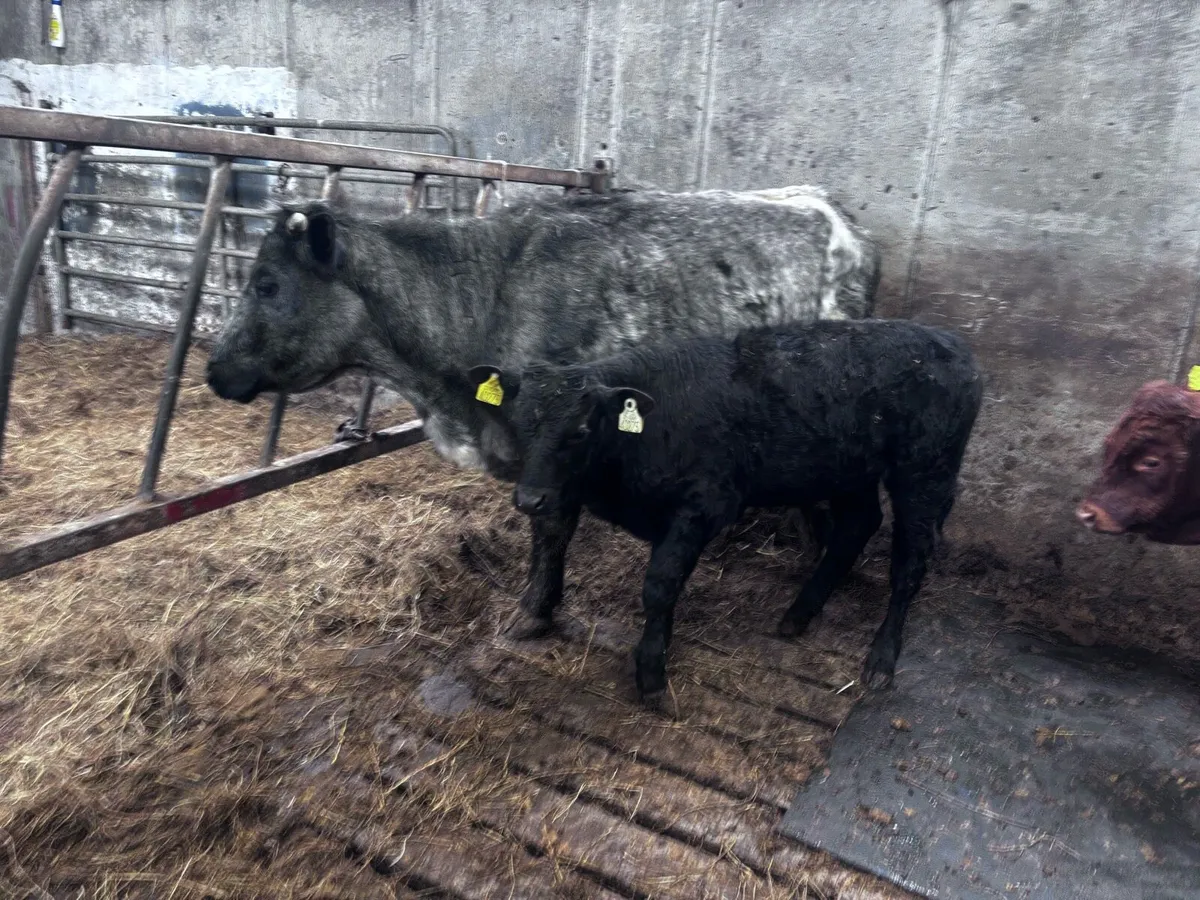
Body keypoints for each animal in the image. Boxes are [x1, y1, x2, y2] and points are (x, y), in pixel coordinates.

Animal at [205, 186, 881, 633]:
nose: (213, 369)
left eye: (266, 284)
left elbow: (550, 529)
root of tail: (836, 210)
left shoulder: (561, 442)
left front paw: (534, 612)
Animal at [466, 318, 983, 701]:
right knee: (857, 526)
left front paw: (651, 671)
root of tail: (953, 343)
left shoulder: (703, 506)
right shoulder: (573, 491)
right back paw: (799, 614)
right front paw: (536, 613)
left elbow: (659, 585)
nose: (528, 498)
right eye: (519, 421)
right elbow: (558, 542)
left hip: (925, 472)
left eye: (580, 429)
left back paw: (881, 659)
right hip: (848, 469)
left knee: (910, 562)